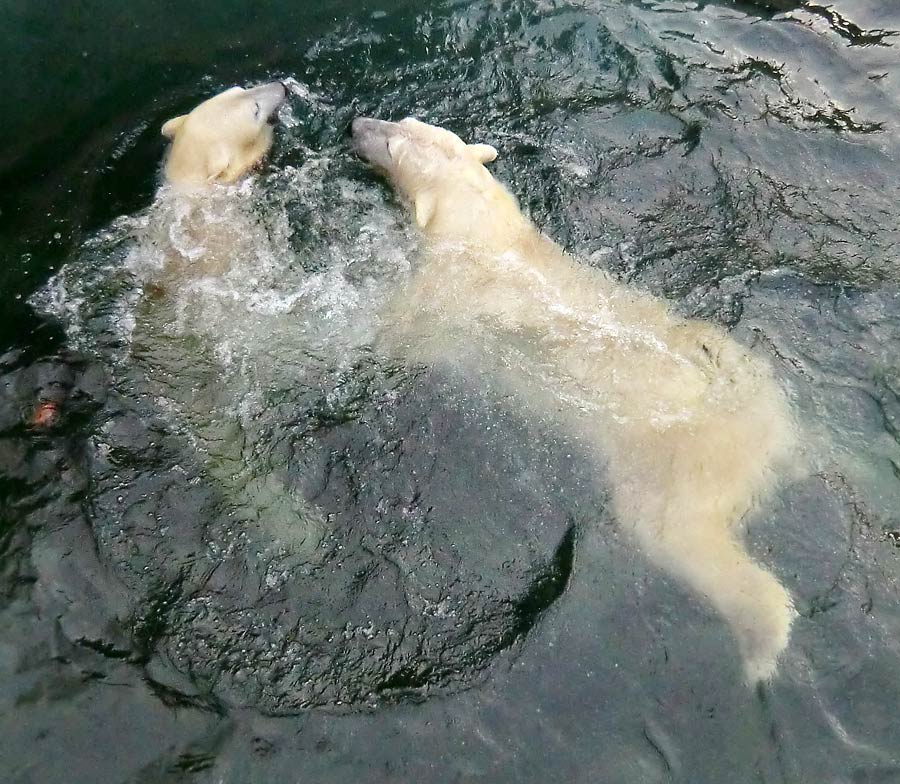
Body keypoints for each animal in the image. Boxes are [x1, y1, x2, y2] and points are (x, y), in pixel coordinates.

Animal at [356, 115, 800, 680]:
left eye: (392, 143)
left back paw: (762, 646)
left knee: (676, 535)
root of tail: (766, 439)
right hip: (744, 370)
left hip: (681, 466)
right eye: (406, 123)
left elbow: (400, 330)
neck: (490, 240)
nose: (354, 125)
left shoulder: (446, 296)